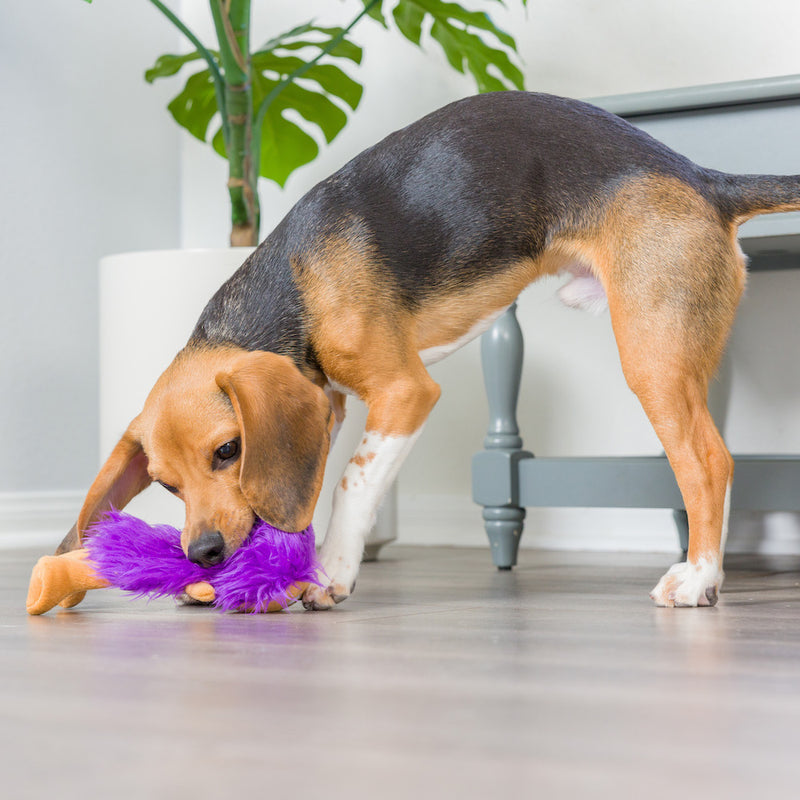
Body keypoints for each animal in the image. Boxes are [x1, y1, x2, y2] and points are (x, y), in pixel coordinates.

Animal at [54, 92, 800, 608]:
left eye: (228, 451)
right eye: (165, 485)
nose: (205, 553)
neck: (291, 284)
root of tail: (703, 177)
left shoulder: (405, 392)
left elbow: (351, 483)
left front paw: (329, 575)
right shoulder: (327, 405)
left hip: (652, 356)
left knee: (709, 463)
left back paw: (699, 576)